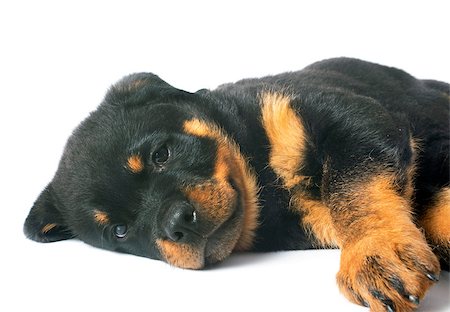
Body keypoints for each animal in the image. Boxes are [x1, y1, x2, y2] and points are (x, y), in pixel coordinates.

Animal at [25, 57, 450, 310]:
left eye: (161, 154)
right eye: (119, 231)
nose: (176, 224)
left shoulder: (351, 117)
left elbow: (353, 184)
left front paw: (375, 252)